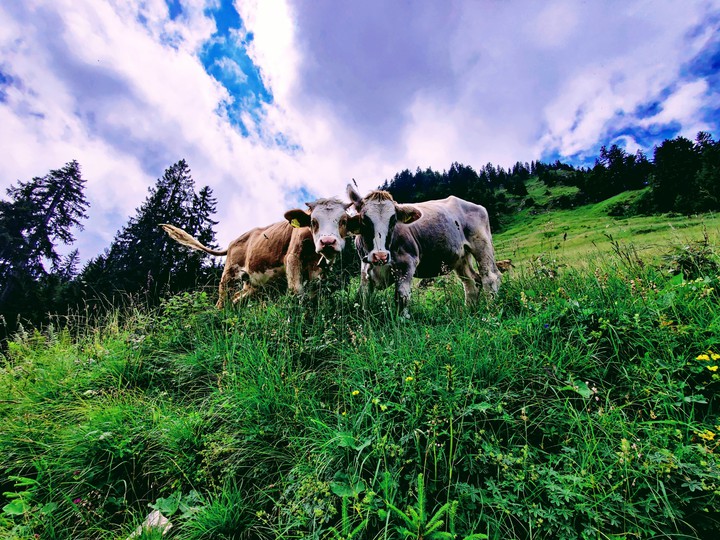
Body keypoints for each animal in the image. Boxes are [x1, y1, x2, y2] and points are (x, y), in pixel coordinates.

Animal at [161, 197, 357, 308]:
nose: (327, 242)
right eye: (313, 221)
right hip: (229, 274)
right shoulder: (292, 258)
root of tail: (233, 241)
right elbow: (296, 291)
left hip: (252, 284)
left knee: (237, 298)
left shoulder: (319, 270)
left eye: (344, 221)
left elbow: (313, 294)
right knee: (221, 300)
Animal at [347, 184, 501, 316]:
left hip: (482, 244)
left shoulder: (407, 264)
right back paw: (469, 311)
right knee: (471, 282)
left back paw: (491, 309)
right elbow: (363, 299)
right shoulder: (365, 271)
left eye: (393, 220)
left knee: (490, 277)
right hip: (460, 256)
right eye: (364, 220)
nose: (381, 256)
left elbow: (402, 297)